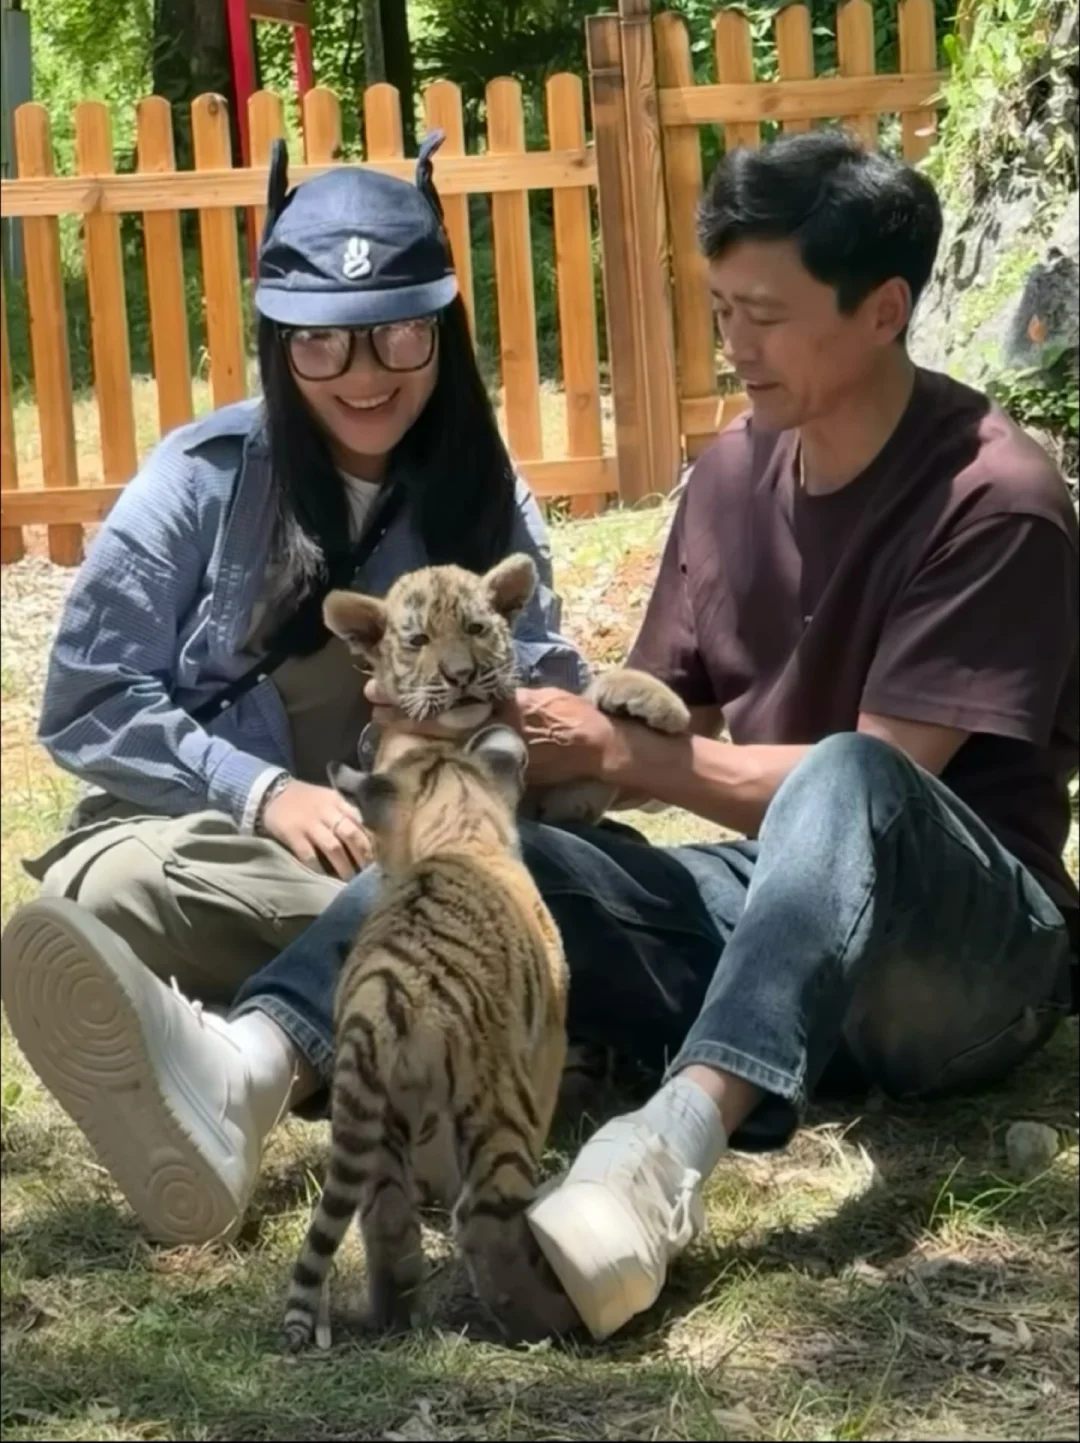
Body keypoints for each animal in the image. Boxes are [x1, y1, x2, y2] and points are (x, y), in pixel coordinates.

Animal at [282, 724, 579, 1350]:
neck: (459, 828)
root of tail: (383, 993)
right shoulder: (547, 1044)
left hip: (377, 1120)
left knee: (386, 1216)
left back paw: (395, 1318)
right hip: (499, 1108)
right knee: (484, 1224)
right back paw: (546, 1323)